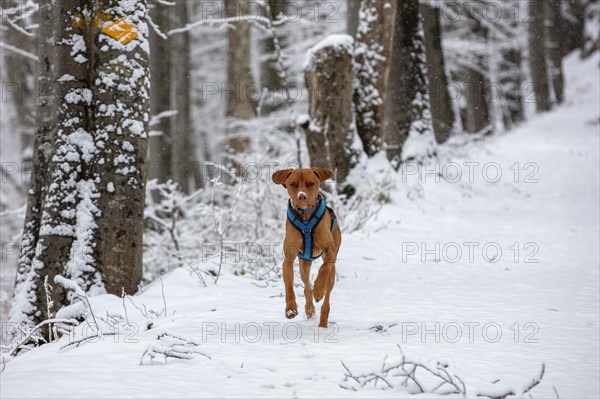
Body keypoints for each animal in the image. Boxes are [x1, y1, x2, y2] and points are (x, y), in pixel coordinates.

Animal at [272, 169, 342, 328]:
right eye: (293, 184)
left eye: (311, 183)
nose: (302, 196)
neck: (306, 217)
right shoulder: (289, 259)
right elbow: (289, 286)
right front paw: (290, 309)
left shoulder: (330, 252)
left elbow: (324, 268)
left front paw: (319, 289)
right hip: (304, 262)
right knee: (306, 285)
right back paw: (309, 308)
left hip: (332, 272)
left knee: (327, 297)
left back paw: (323, 322)